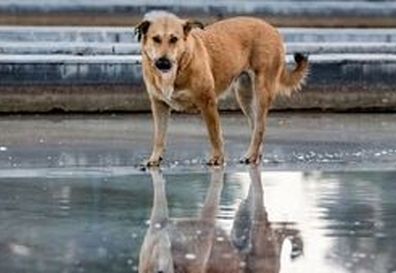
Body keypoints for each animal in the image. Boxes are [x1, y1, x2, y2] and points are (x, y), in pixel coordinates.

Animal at [136, 11, 310, 166]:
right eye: (156, 39)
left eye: (174, 39)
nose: (163, 62)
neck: (179, 66)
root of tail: (272, 28)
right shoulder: (159, 105)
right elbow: (159, 136)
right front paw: (154, 158)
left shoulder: (207, 102)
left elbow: (214, 134)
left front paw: (218, 158)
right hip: (244, 95)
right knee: (255, 126)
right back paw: (254, 155)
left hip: (262, 91)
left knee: (260, 127)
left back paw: (251, 155)